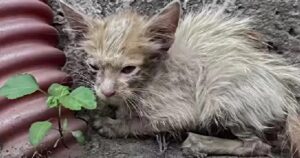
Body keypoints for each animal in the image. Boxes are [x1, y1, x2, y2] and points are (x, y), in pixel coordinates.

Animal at [59, 0, 300, 157]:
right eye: (94, 66)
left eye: (128, 69)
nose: (107, 91)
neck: (151, 77)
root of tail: (284, 86)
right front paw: (108, 106)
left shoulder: (180, 110)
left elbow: (142, 123)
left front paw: (111, 124)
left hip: (220, 92)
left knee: (259, 145)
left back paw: (199, 143)